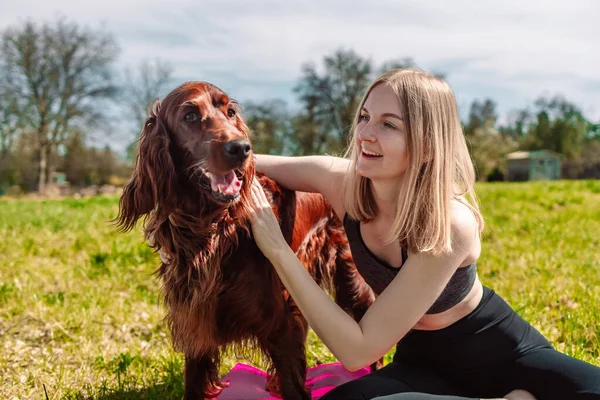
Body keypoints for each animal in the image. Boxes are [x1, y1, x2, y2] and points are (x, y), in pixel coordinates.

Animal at [113, 81, 376, 400]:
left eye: (230, 112)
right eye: (189, 116)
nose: (241, 148)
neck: (211, 231)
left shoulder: (282, 323)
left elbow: (293, 382)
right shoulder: (196, 319)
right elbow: (194, 380)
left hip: (350, 279)